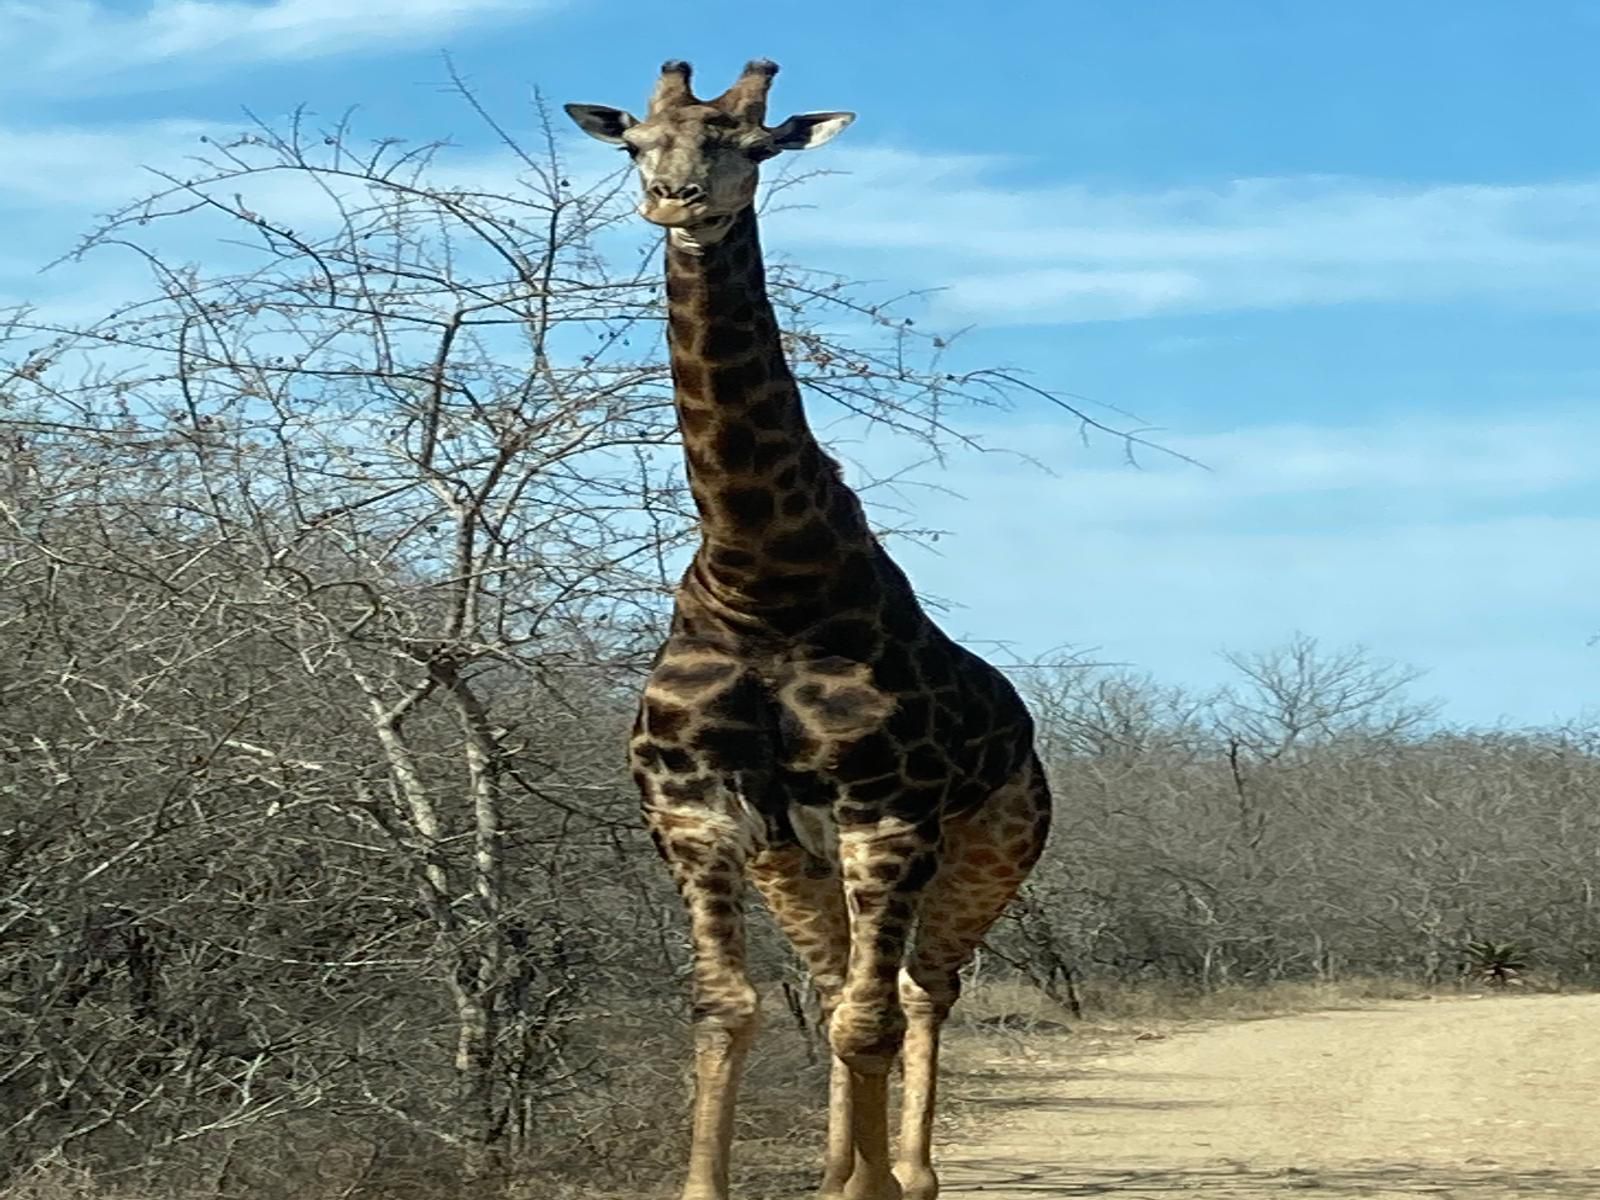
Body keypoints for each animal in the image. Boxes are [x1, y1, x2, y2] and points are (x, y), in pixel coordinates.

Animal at [569, 61, 1056, 1200]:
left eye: (753, 146)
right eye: (634, 142)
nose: (676, 201)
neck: (764, 580)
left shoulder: (889, 813)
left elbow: (871, 1021)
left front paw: (875, 1183)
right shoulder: (696, 811)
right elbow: (727, 1009)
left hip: (993, 843)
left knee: (919, 991)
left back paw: (907, 1176)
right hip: (798, 858)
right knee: (838, 985)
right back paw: (846, 1172)